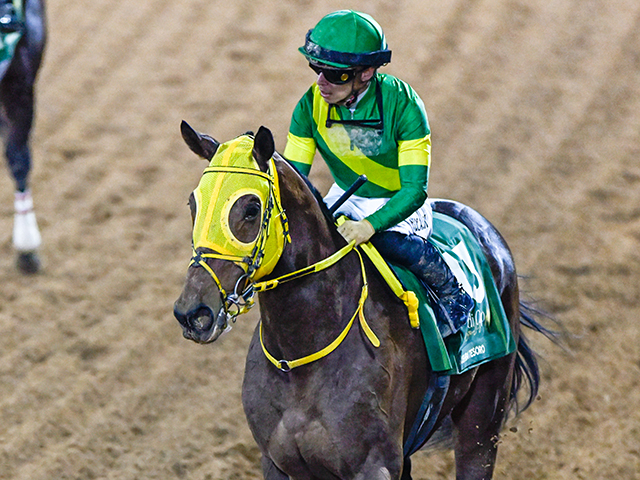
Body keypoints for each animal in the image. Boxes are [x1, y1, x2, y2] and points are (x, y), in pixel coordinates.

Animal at [174, 124, 544, 480]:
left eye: (251, 208)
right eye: (194, 204)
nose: (193, 313)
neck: (302, 357)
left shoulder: (374, 465)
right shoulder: (278, 463)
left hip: (482, 418)